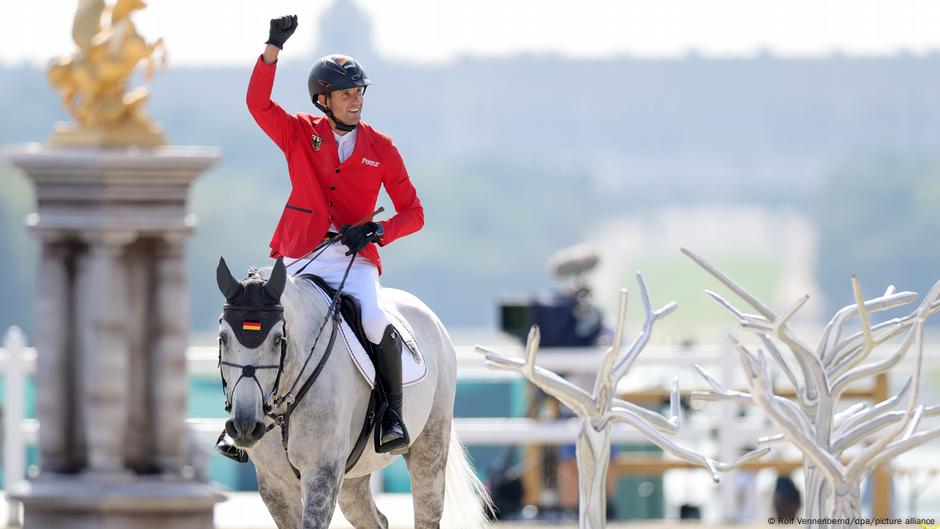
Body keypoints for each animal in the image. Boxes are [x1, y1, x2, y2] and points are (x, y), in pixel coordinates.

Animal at [216, 255, 488, 524]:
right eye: (223, 338)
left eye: (276, 340)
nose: (245, 426)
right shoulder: (275, 485)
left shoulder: (322, 473)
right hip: (353, 476)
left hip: (430, 447)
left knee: (426, 510)